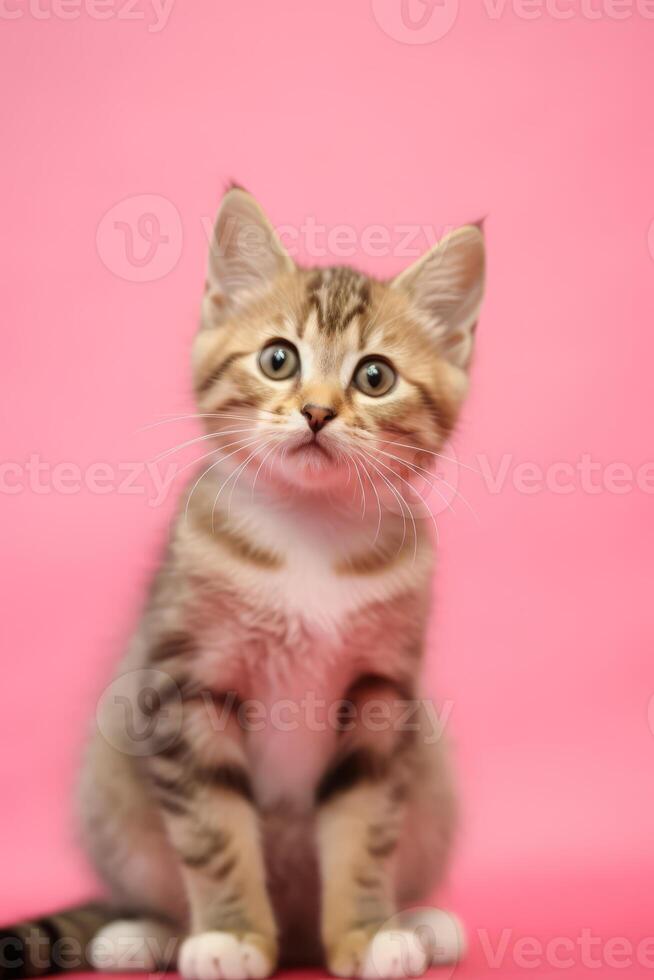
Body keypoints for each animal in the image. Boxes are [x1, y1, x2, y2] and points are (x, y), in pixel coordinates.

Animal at [1, 189, 486, 980]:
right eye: (278, 359)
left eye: (374, 376)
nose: (317, 411)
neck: (309, 538)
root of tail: (298, 932)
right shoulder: (185, 685)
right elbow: (212, 830)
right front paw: (231, 935)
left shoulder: (380, 696)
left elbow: (365, 826)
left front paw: (367, 933)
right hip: (110, 771)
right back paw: (148, 933)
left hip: (430, 765)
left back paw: (417, 920)